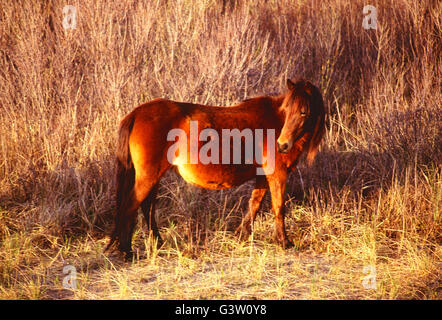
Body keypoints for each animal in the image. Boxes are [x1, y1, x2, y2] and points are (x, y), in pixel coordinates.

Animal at [106, 79, 324, 258]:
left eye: (303, 112)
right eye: (286, 110)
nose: (282, 145)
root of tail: (136, 113)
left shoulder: (263, 175)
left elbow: (254, 204)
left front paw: (241, 235)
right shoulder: (277, 174)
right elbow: (279, 207)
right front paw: (285, 242)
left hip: (153, 176)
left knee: (147, 207)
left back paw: (157, 244)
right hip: (148, 176)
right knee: (131, 205)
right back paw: (127, 251)